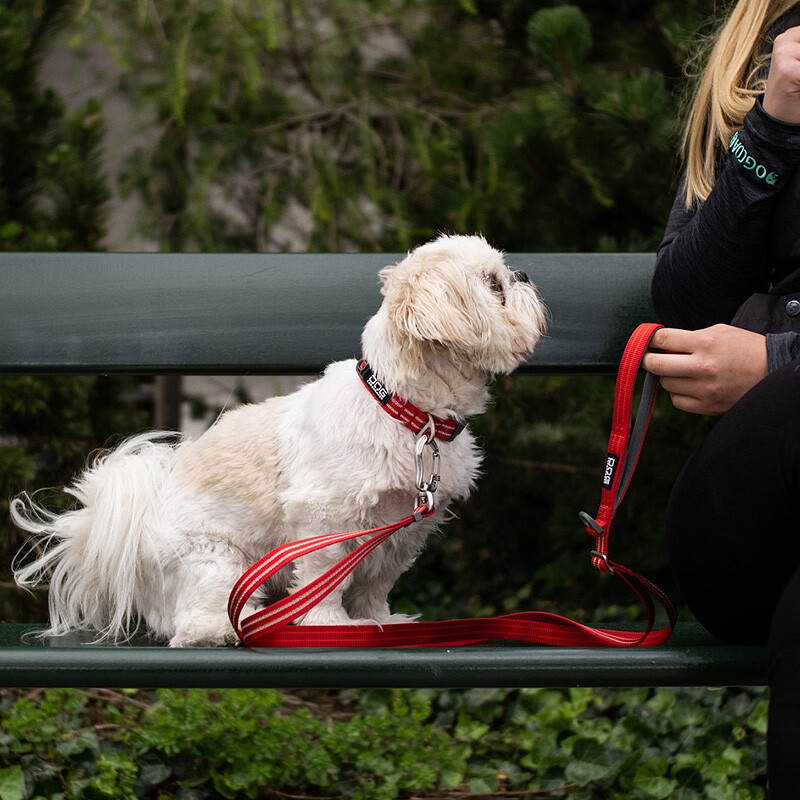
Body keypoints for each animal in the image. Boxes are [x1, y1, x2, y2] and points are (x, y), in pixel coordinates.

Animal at [12, 234, 548, 648]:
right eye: (494, 285)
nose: (522, 272)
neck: (408, 415)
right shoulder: (327, 520)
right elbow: (325, 578)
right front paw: (330, 625)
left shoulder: (403, 530)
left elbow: (375, 583)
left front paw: (378, 621)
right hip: (217, 562)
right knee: (190, 622)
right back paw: (228, 628)